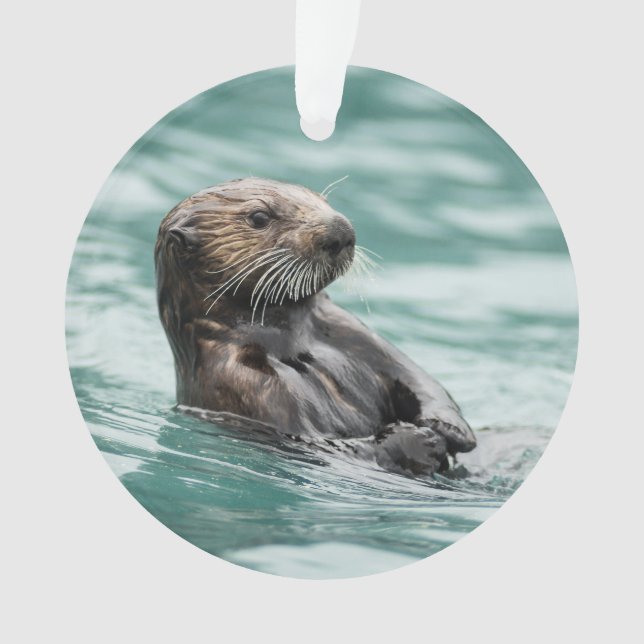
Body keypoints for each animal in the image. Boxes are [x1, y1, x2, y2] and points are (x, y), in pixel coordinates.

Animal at [154, 178, 476, 476]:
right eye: (259, 217)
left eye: (322, 200)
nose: (340, 229)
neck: (291, 341)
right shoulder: (243, 383)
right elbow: (324, 445)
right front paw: (420, 440)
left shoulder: (349, 330)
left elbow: (417, 378)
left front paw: (449, 428)